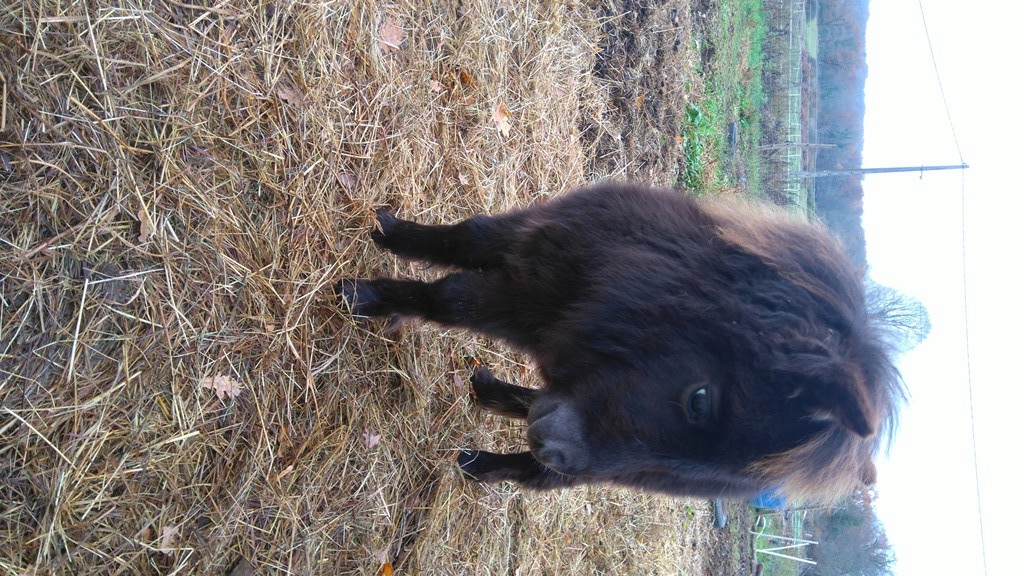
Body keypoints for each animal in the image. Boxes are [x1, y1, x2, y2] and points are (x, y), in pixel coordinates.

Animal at [339, 181, 901, 500]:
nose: (555, 450)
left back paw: (479, 462)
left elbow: (449, 299)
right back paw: (491, 396)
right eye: (699, 400)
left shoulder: (521, 300)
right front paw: (389, 233)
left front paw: (363, 297)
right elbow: (466, 237)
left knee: (535, 478)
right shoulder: (534, 252)